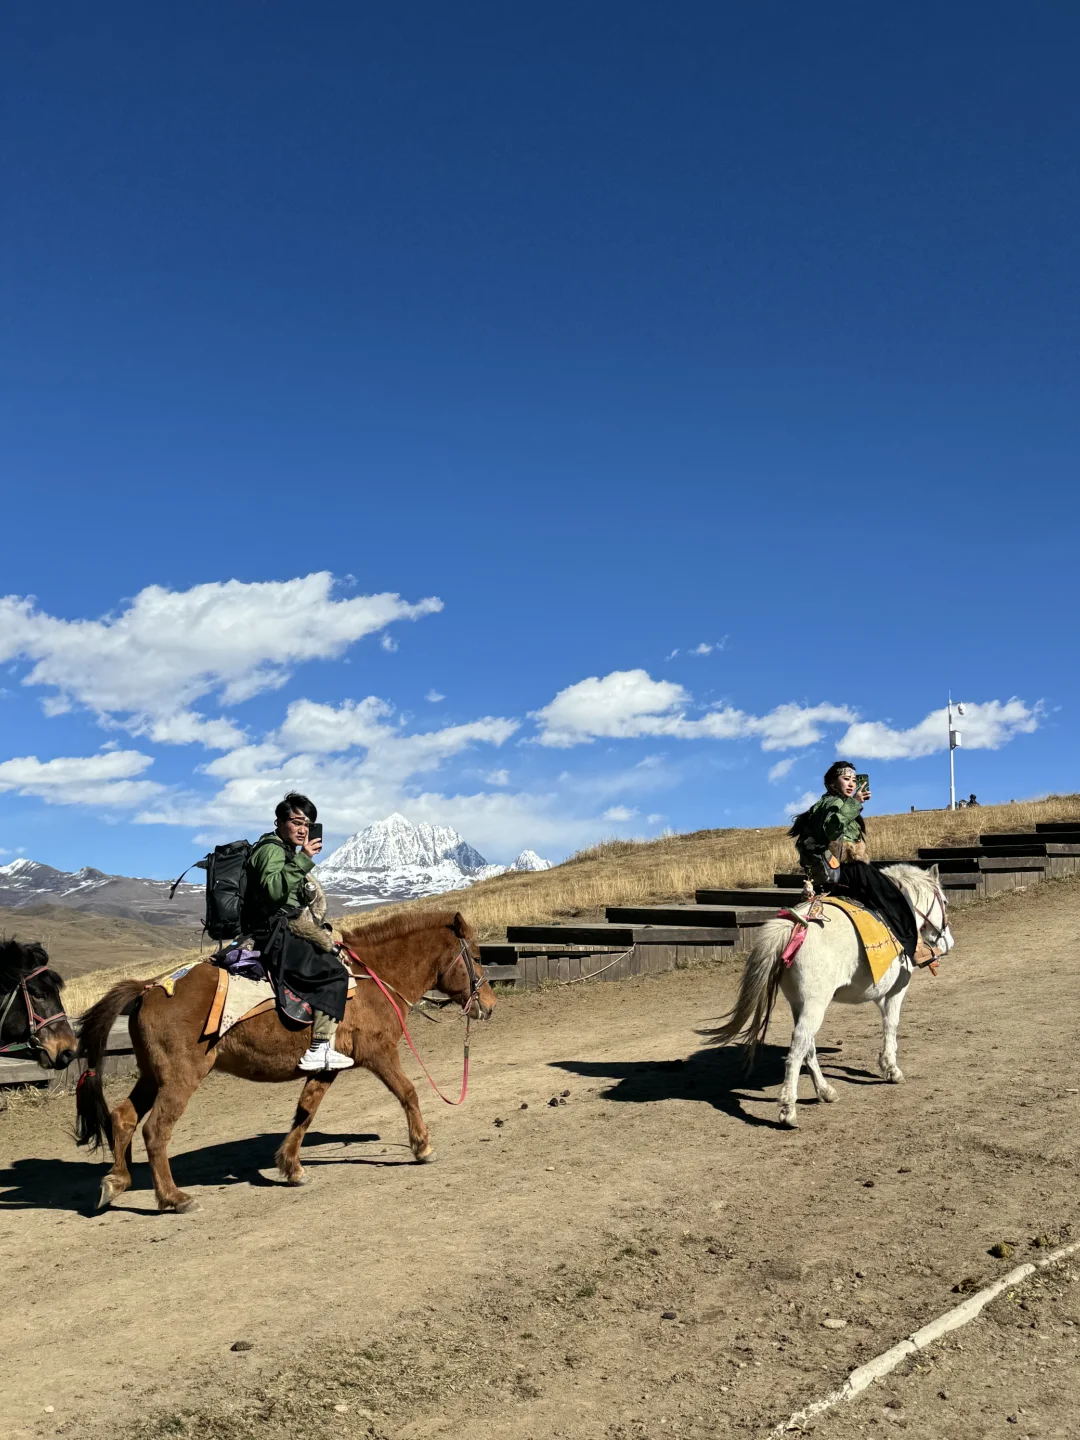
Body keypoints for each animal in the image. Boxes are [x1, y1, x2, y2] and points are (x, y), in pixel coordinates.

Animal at [75, 910, 495, 1212]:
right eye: (476, 957)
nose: (489, 1006)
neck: (374, 979)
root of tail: (148, 989)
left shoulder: (328, 1066)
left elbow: (305, 1112)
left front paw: (290, 1166)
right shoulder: (379, 1053)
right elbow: (409, 1093)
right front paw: (422, 1147)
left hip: (151, 1075)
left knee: (123, 1118)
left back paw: (116, 1181)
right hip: (180, 1078)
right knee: (155, 1130)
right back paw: (173, 1198)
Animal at [711, 864, 954, 1128]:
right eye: (945, 901)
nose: (949, 943)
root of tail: (795, 926)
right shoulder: (896, 991)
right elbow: (891, 1026)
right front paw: (891, 1069)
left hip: (801, 1004)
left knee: (808, 1047)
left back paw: (825, 1091)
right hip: (815, 1004)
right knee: (798, 1048)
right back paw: (788, 1109)